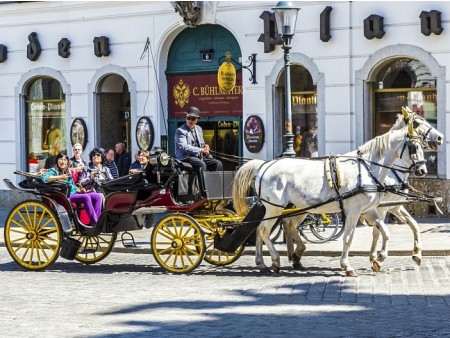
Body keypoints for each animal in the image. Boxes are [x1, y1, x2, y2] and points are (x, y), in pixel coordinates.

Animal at [234, 117, 428, 276]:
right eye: (414, 147)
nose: (422, 170)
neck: (369, 169)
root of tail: (264, 165)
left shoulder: (371, 209)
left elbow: (385, 232)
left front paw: (379, 258)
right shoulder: (356, 211)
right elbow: (349, 238)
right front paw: (348, 266)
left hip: (290, 207)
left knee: (271, 227)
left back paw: (268, 262)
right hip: (274, 207)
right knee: (264, 230)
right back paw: (274, 261)